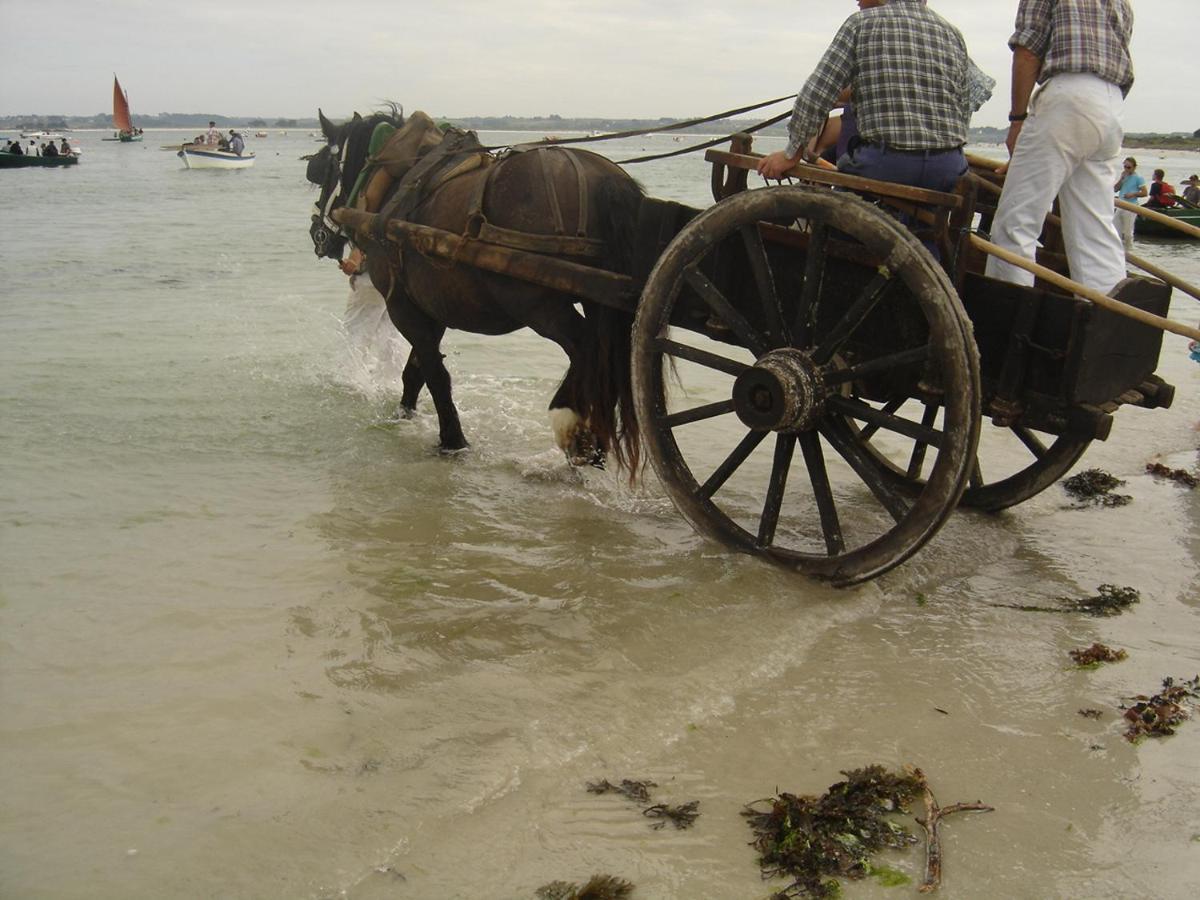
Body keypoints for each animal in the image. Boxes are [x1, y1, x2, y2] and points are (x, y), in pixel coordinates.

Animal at [309, 105, 648, 472]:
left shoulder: (402, 305)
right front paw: (405, 415)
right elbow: (416, 370)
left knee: (588, 348)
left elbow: (434, 373)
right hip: (601, 298)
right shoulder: (430, 307)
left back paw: (570, 424)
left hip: (537, 304)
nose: (318, 235)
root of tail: (605, 179)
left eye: (321, 171)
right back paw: (594, 441)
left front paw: (452, 439)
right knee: (608, 355)